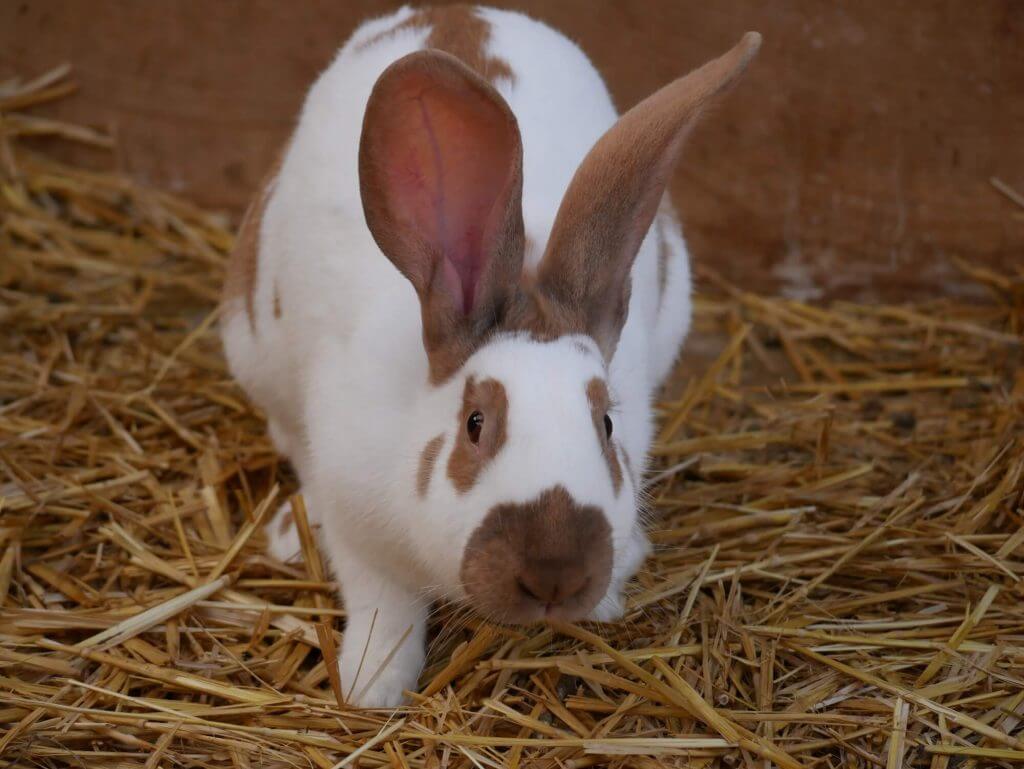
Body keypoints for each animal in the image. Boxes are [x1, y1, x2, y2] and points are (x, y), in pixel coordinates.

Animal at [220, 3, 757, 708]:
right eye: (475, 425)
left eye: (607, 424)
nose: (556, 574)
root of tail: (456, 10)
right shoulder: (359, 528)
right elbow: (384, 606)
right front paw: (372, 686)